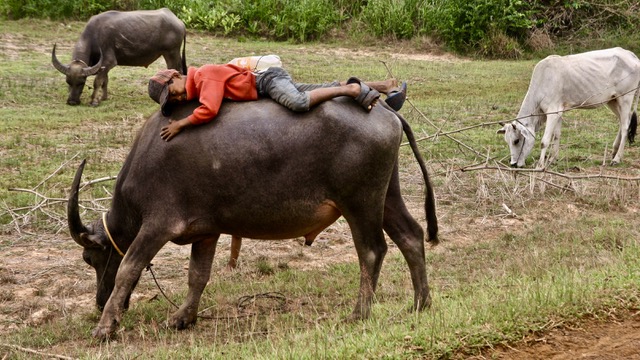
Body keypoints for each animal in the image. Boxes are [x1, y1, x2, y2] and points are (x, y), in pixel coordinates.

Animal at [52, 7, 185, 106]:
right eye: (68, 82)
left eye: (81, 82)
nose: (72, 102)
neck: (93, 36)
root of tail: (179, 22)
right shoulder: (103, 66)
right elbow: (104, 81)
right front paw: (103, 98)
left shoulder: (108, 61)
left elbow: (97, 81)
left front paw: (94, 101)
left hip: (171, 53)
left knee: (177, 71)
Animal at [69, 97, 440, 338]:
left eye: (90, 258)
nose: (99, 301)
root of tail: (387, 111)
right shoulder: (206, 232)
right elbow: (197, 276)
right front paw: (182, 318)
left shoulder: (157, 225)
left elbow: (128, 269)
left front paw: (104, 328)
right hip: (387, 196)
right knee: (411, 236)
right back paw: (420, 303)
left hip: (360, 204)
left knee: (372, 251)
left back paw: (359, 313)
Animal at [500, 46, 640, 167]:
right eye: (507, 141)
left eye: (516, 140)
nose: (513, 164)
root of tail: (632, 56)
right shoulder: (559, 112)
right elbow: (556, 135)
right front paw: (553, 159)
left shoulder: (552, 112)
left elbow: (544, 141)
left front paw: (540, 165)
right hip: (613, 101)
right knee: (623, 122)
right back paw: (614, 151)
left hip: (626, 98)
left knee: (625, 126)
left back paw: (617, 158)